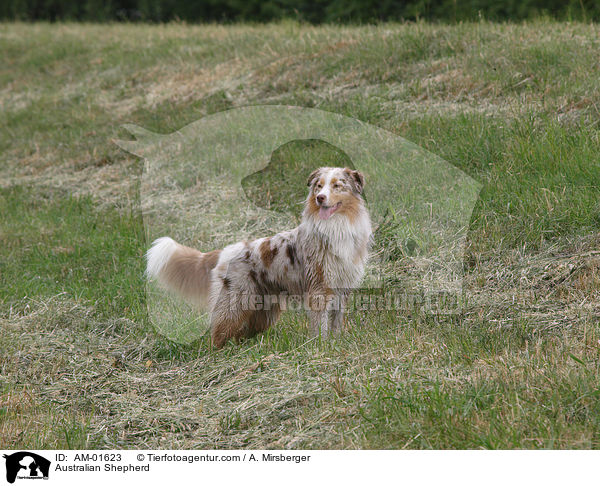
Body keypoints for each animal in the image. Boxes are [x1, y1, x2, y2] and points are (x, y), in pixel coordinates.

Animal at [145, 165, 370, 348]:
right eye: (319, 186)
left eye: (337, 185)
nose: (320, 198)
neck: (336, 225)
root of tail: (224, 252)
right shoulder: (319, 287)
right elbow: (320, 323)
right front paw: (320, 346)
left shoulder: (343, 285)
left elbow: (336, 319)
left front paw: (336, 341)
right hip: (234, 304)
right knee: (218, 332)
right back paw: (220, 354)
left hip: (263, 310)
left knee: (242, 332)